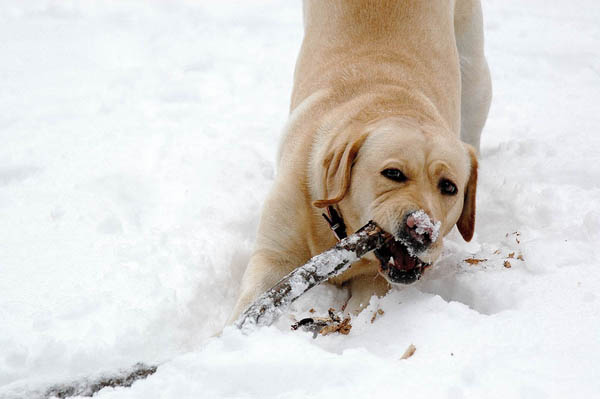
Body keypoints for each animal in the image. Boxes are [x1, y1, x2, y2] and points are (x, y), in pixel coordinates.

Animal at [227, 0, 490, 324]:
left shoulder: (374, 281)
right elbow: (254, 299)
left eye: (449, 187)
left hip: (475, 71)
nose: (422, 229)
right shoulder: (274, 254)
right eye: (393, 173)